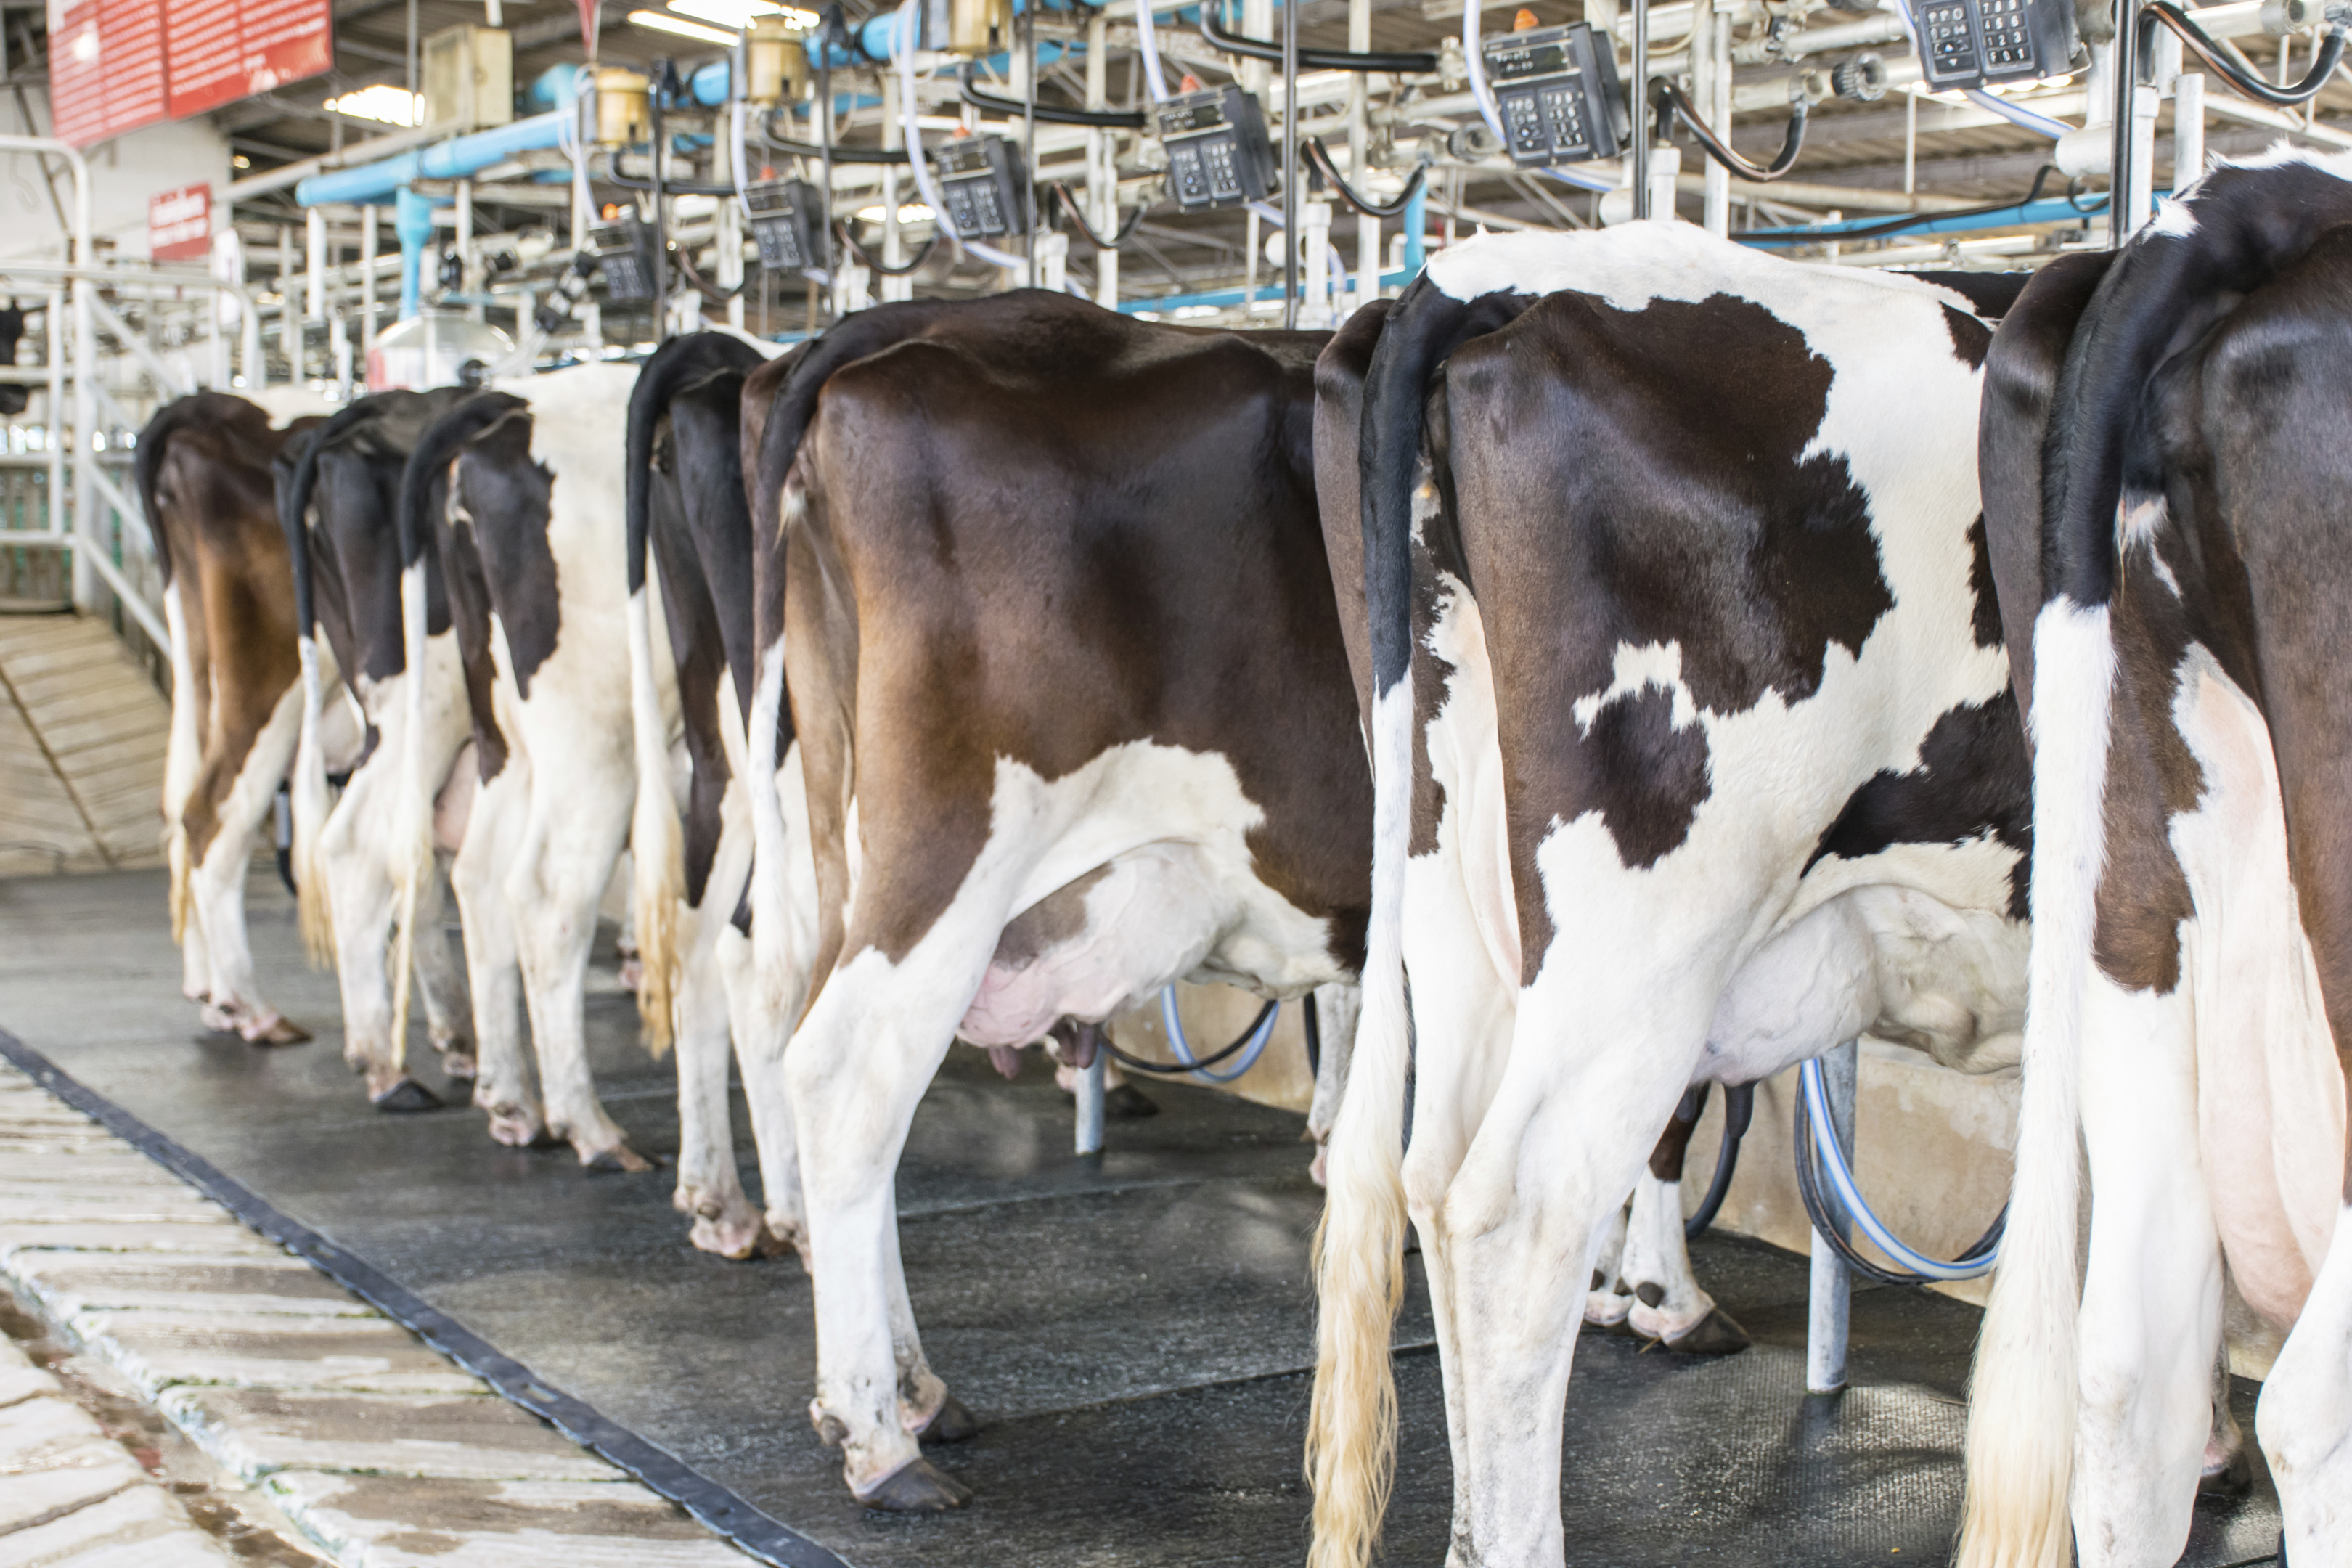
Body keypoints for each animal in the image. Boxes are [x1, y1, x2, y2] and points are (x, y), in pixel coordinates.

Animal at [139, 392, 336, 1048]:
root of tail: (213, 406)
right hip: (273, 675)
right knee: (214, 816)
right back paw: (250, 1007)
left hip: (203, 671)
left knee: (183, 807)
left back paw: (211, 993)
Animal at [743, 291, 1373, 1504]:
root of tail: (878, 335)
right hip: (953, 844)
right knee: (846, 1073)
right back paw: (877, 1437)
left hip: (841, 837)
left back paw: (918, 1391)